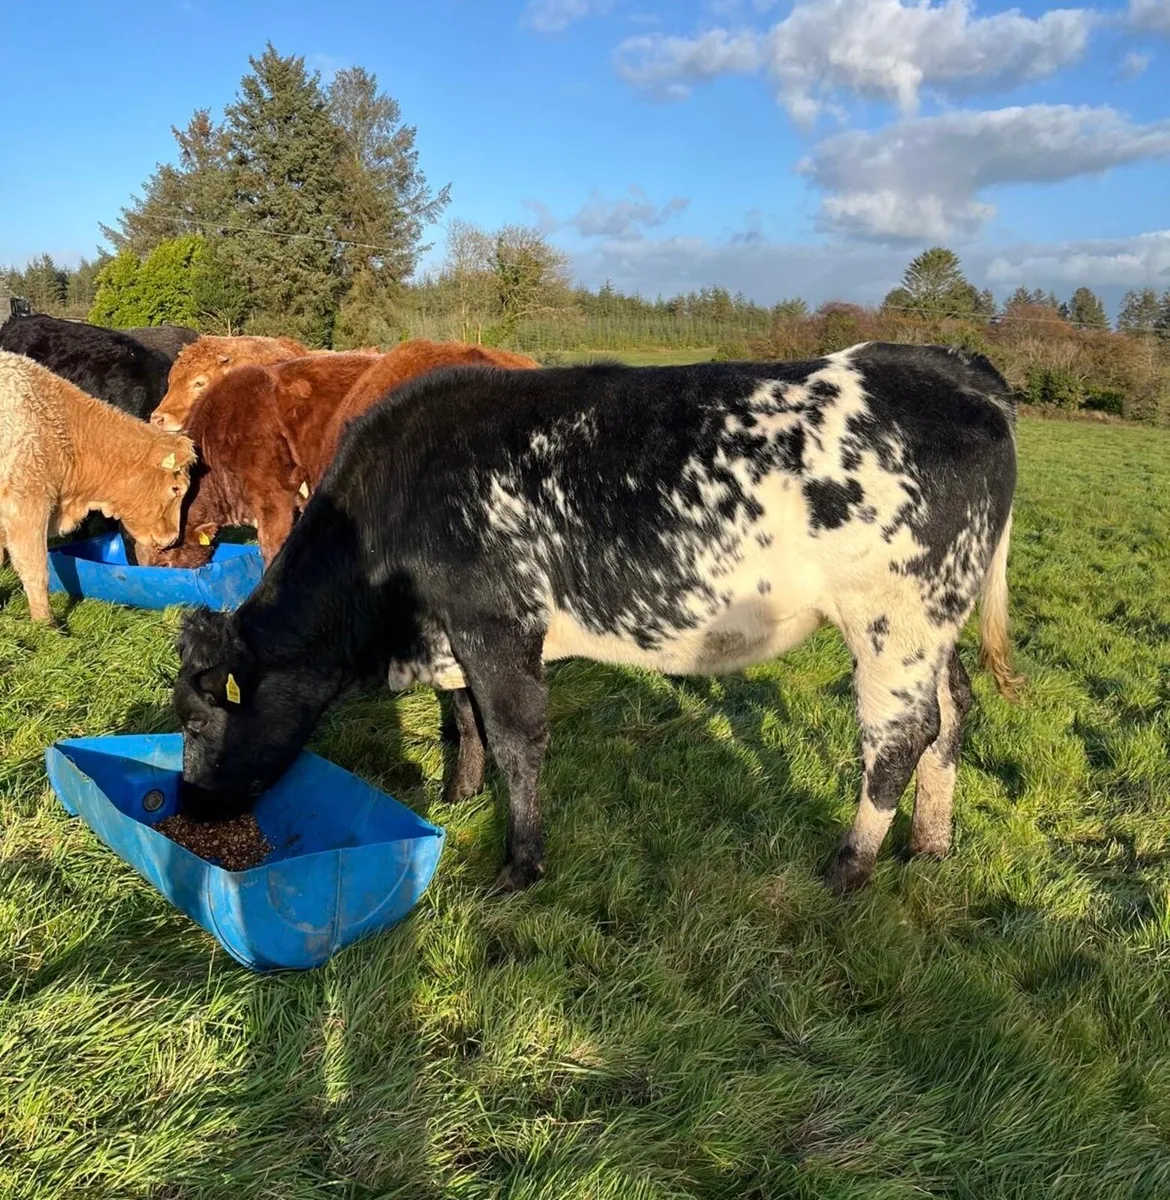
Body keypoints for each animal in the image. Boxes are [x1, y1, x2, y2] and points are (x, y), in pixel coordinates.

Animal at [172, 343, 1022, 895]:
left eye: (196, 721)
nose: (189, 811)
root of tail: (950, 366)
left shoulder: (496, 619)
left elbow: (515, 734)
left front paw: (519, 864)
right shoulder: (456, 633)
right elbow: (463, 717)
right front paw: (458, 797)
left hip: (892, 617)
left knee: (899, 735)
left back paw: (848, 867)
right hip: (934, 619)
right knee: (953, 713)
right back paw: (931, 845)